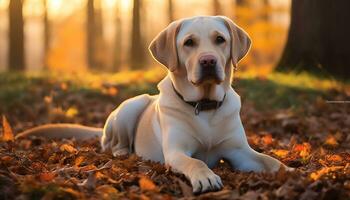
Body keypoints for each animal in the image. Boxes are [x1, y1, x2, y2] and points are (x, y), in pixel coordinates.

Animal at [17, 16, 288, 195]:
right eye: (189, 43)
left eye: (220, 39)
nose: (209, 61)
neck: (204, 105)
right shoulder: (176, 151)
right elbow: (196, 162)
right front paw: (206, 178)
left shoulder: (240, 151)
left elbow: (271, 162)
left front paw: (290, 173)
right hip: (132, 105)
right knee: (110, 144)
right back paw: (123, 152)